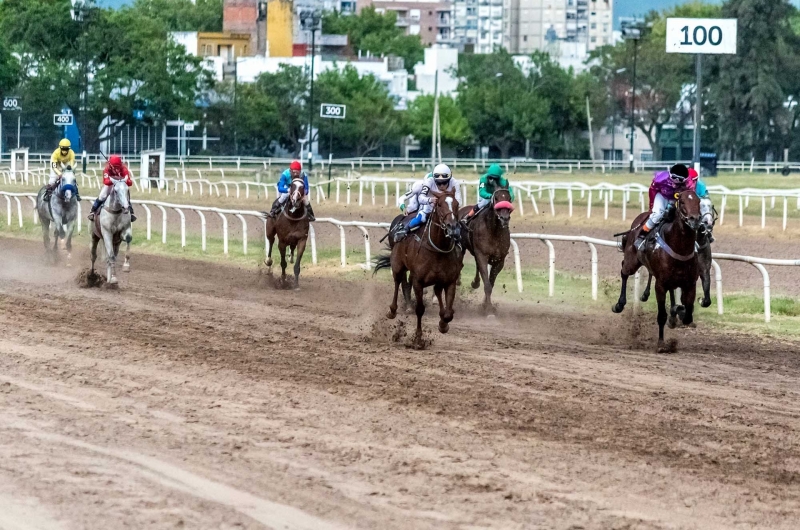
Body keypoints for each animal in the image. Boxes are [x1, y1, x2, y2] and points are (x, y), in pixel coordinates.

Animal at [376, 189, 462, 346]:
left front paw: (443, 325)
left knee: (436, 291)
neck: (438, 249)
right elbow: (420, 309)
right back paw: (392, 310)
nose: (452, 227)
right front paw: (418, 338)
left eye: (457, 204)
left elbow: (448, 313)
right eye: (439, 204)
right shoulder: (418, 281)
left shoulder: (450, 281)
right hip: (397, 265)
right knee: (398, 282)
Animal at [612, 190, 700, 350]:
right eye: (682, 202)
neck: (680, 249)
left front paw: (678, 313)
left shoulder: (690, 284)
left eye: (699, 201)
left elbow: (688, 313)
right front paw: (661, 343)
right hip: (631, 262)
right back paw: (619, 304)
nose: (694, 219)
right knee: (624, 271)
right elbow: (661, 315)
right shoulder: (660, 285)